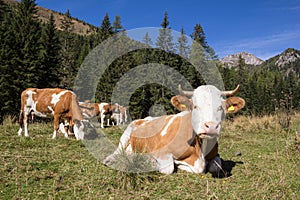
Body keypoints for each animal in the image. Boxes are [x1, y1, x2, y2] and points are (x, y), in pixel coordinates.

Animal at [104, 85, 245, 174]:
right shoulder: (162, 151)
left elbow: (215, 167)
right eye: (195, 106)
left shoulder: (215, 155)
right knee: (117, 151)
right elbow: (169, 168)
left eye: (220, 107)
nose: (211, 126)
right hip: (127, 132)